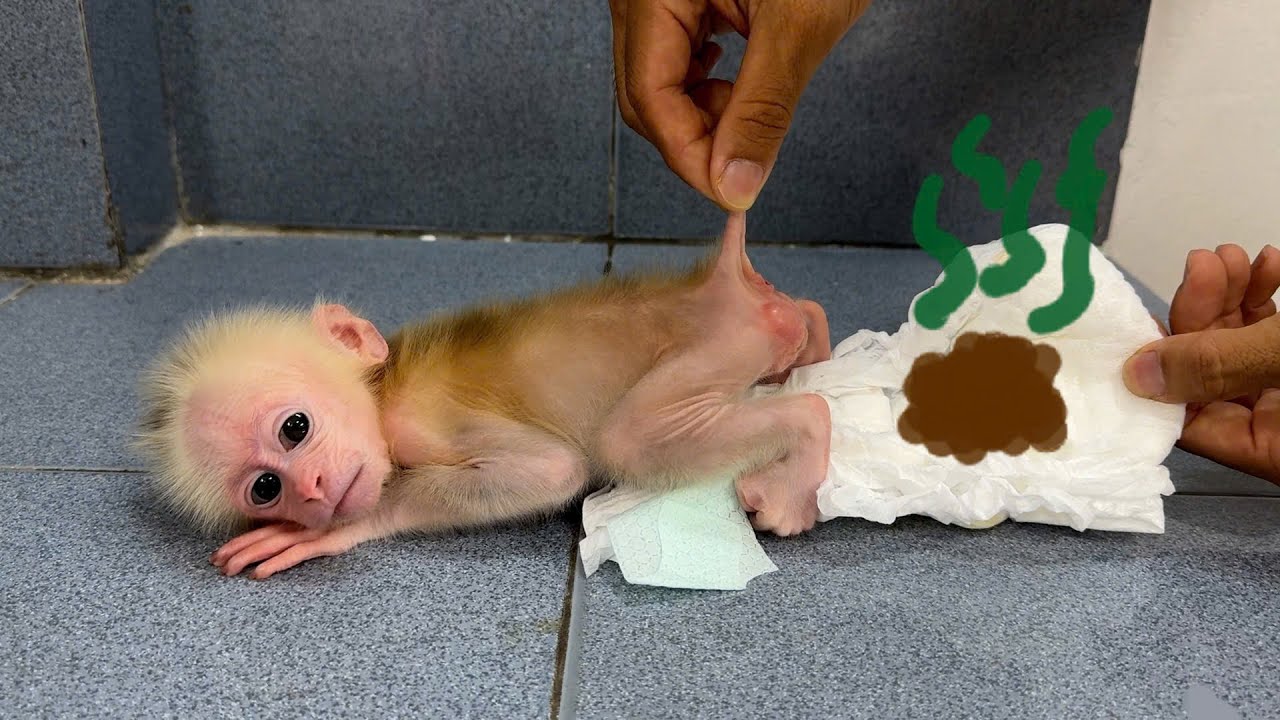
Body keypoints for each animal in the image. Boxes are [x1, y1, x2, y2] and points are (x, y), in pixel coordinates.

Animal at [133, 213, 834, 580]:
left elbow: (552, 470)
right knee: (806, 317)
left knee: (628, 440)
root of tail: (724, 280)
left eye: (295, 429)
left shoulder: (420, 422)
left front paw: (340, 526)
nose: (311, 490)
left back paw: (803, 442)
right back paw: (817, 338)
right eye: (265, 488)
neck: (384, 392)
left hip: (727, 341)